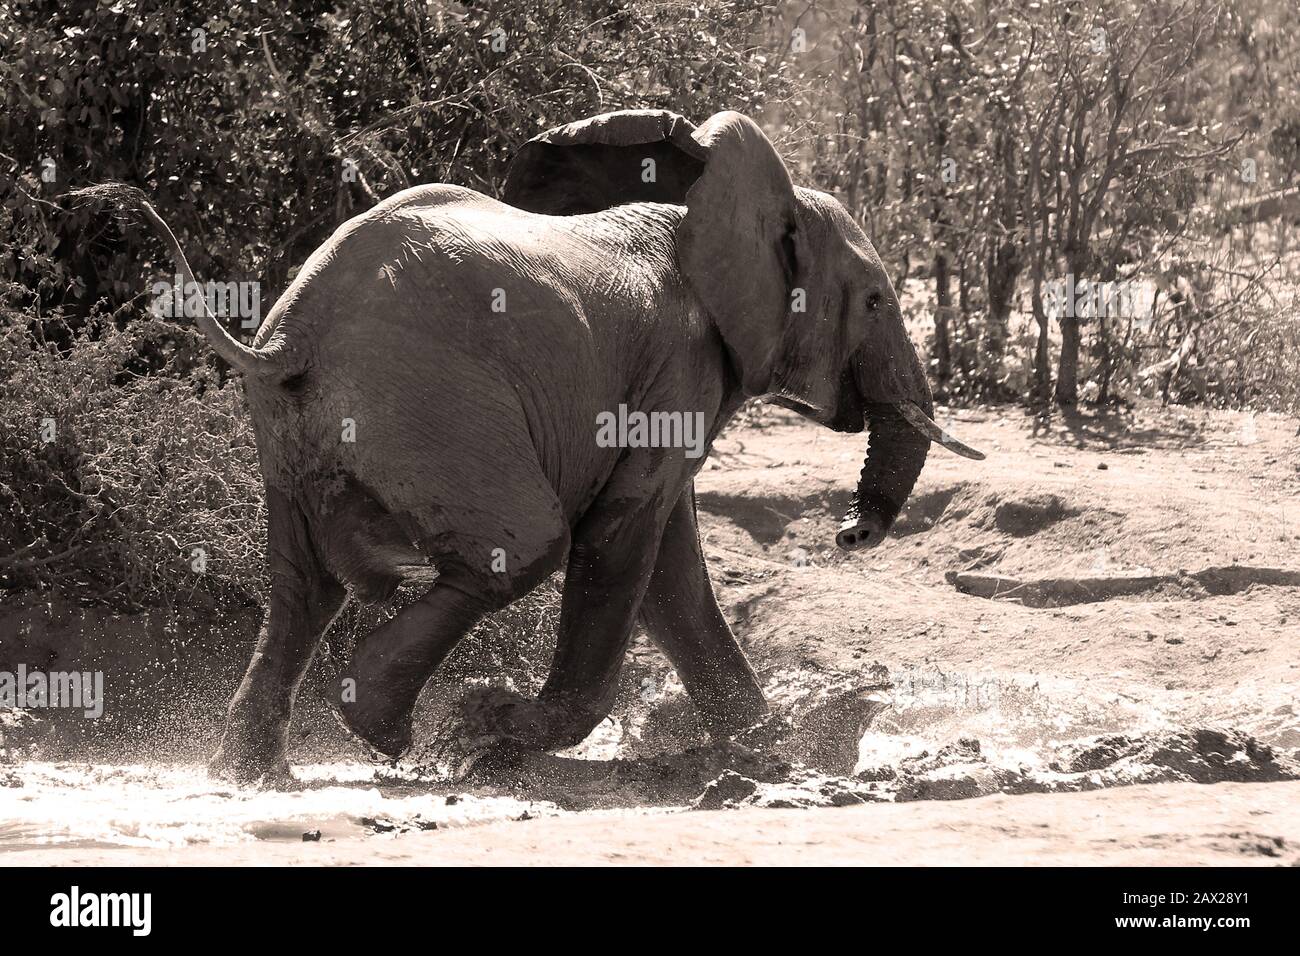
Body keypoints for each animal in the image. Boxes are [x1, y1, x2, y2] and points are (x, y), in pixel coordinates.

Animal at [81, 108, 977, 780]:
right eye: (874, 301)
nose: (849, 533)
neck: (713, 206)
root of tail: (288, 335)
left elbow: (669, 565)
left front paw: (772, 748)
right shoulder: (678, 364)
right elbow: (626, 537)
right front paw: (494, 727)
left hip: (300, 433)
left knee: (302, 589)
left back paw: (252, 776)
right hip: (432, 405)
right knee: (523, 547)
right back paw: (398, 735)